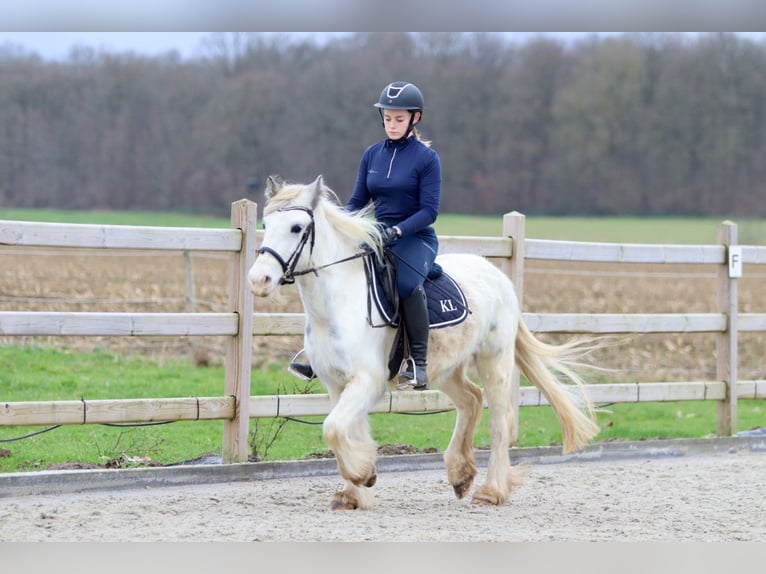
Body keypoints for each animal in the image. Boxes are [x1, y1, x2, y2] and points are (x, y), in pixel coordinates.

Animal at [249, 177, 604, 512]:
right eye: (265, 223)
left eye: (297, 228)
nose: (258, 281)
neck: (339, 302)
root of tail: (497, 275)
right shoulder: (337, 384)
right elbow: (344, 429)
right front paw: (355, 491)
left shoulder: (368, 381)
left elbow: (333, 428)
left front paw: (362, 473)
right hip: (444, 367)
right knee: (471, 400)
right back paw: (461, 476)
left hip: (495, 361)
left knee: (499, 424)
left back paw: (491, 491)